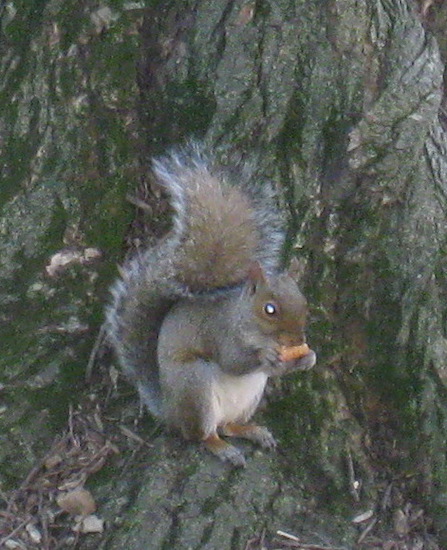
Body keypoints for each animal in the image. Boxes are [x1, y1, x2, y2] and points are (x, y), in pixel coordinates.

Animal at [105, 142, 316, 466]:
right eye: (270, 309)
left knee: (227, 425)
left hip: (249, 396)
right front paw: (267, 356)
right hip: (195, 386)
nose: (296, 340)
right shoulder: (220, 332)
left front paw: (308, 358)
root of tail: (169, 410)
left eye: (303, 301)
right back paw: (222, 449)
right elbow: (232, 361)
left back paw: (252, 431)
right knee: (203, 435)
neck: (244, 319)